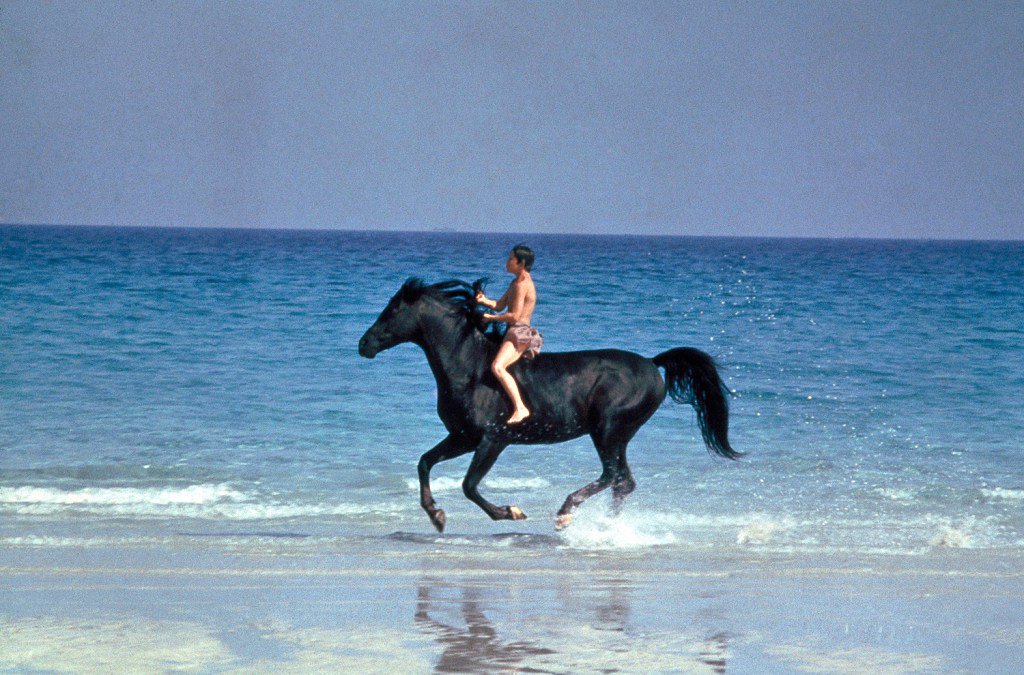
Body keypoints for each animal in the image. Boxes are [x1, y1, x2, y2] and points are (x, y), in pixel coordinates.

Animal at [358, 278, 740, 532]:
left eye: (392, 310)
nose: (364, 345)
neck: (471, 367)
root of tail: (652, 363)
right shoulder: (463, 437)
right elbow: (425, 462)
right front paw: (436, 516)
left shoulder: (493, 439)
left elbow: (469, 485)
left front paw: (511, 512)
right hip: (616, 436)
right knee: (623, 482)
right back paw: (606, 527)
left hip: (608, 430)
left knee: (613, 476)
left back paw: (566, 513)